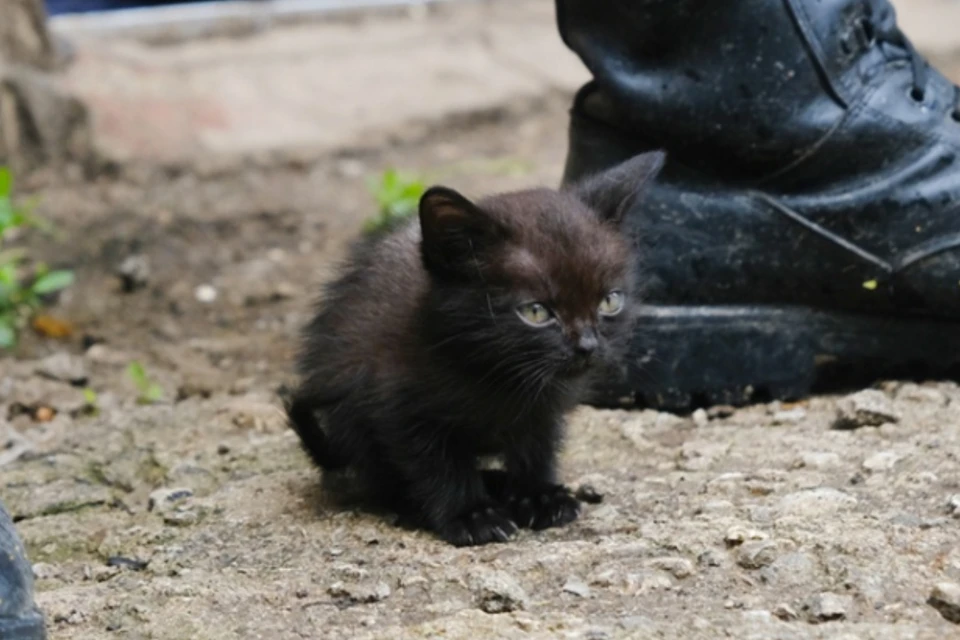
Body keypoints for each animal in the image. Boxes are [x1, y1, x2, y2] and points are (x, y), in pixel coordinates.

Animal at [288, 152, 664, 548]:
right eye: (536, 312)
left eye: (610, 301)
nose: (587, 345)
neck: (495, 374)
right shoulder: (396, 404)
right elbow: (435, 464)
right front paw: (471, 515)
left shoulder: (543, 407)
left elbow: (537, 446)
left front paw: (538, 495)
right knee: (378, 474)